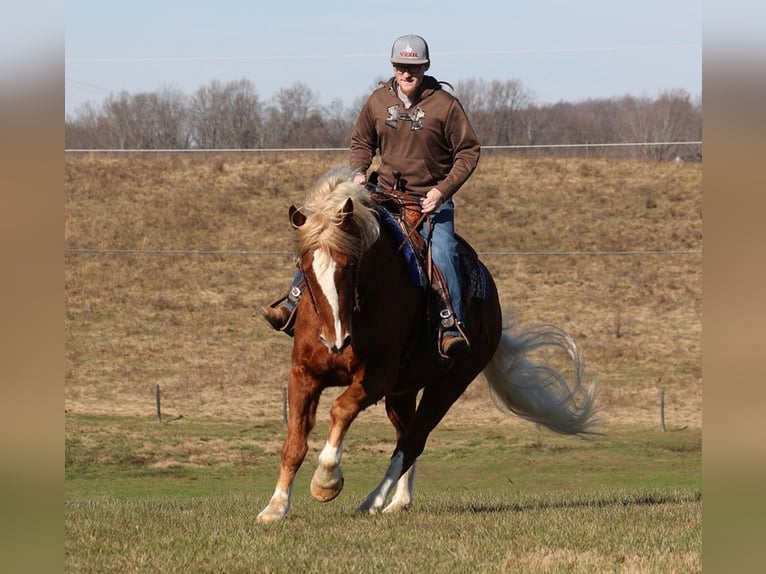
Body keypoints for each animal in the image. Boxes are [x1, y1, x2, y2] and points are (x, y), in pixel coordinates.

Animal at [255, 168, 596, 528]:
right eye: (304, 268)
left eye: (349, 265)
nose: (335, 340)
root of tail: (493, 308)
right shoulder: (304, 374)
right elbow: (294, 443)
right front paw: (275, 508)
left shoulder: (376, 378)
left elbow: (341, 410)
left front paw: (326, 481)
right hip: (403, 392)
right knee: (405, 437)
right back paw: (399, 501)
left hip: (448, 385)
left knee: (412, 441)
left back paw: (373, 501)